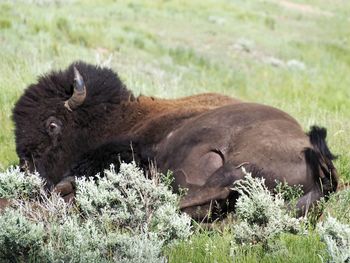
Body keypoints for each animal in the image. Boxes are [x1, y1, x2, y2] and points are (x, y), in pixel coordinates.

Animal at [12, 62, 338, 221]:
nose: (27, 170)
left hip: (239, 164)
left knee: (195, 195)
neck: (118, 117)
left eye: (52, 125)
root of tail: (321, 162)